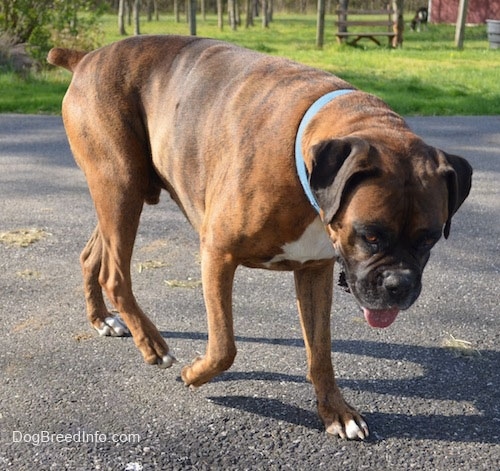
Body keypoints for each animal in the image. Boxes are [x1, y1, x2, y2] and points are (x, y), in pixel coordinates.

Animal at [47, 35, 472, 440]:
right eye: (369, 235)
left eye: (429, 239)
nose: (399, 285)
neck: (305, 163)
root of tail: (87, 58)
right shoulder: (218, 253)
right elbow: (224, 346)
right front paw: (193, 374)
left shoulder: (314, 272)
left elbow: (320, 351)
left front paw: (336, 412)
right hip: (120, 186)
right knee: (115, 274)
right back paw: (151, 344)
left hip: (120, 196)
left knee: (91, 256)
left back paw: (102, 320)